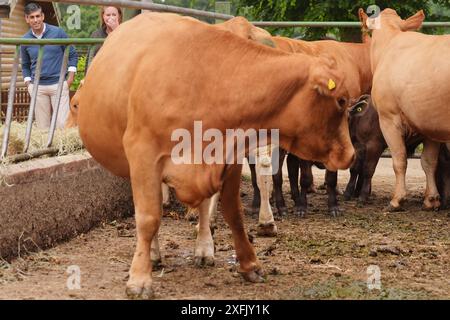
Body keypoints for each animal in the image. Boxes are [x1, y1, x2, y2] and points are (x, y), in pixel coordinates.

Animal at [74, 11, 356, 298]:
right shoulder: (143, 155)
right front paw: (140, 279)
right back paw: (154, 253)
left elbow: (233, 211)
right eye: (341, 101)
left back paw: (203, 248)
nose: (351, 154)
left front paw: (249, 264)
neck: (207, 84)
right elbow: (148, 217)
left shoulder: (227, 158)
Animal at [366, 8, 450, 210]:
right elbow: (429, 161)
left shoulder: (388, 119)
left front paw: (397, 199)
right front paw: (431, 199)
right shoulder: (430, 122)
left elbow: (399, 159)